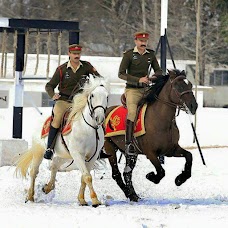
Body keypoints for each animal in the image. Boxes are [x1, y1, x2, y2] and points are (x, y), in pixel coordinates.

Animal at [15, 75, 109, 208]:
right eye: (92, 95)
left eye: (107, 96)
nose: (99, 118)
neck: (88, 128)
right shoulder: (78, 154)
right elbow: (87, 177)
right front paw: (95, 200)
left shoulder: (92, 156)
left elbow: (84, 177)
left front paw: (82, 200)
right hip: (39, 151)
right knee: (34, 172)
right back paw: (31, 196)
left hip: (64, 155)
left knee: (54, 166)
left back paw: (47, 188)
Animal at [104, 69, 198, 201]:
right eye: (178, 86)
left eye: (189, 85)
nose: (194, 106)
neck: (161, 120)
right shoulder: (151, 153)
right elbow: (161, 171)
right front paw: (151, 176)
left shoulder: (171, 150)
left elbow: (189, 156)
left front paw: (180, 179)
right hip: (109, 148)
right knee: (116, 174)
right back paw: (130, 194)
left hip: (131, 154)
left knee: (127, 173)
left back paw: (133, 195)